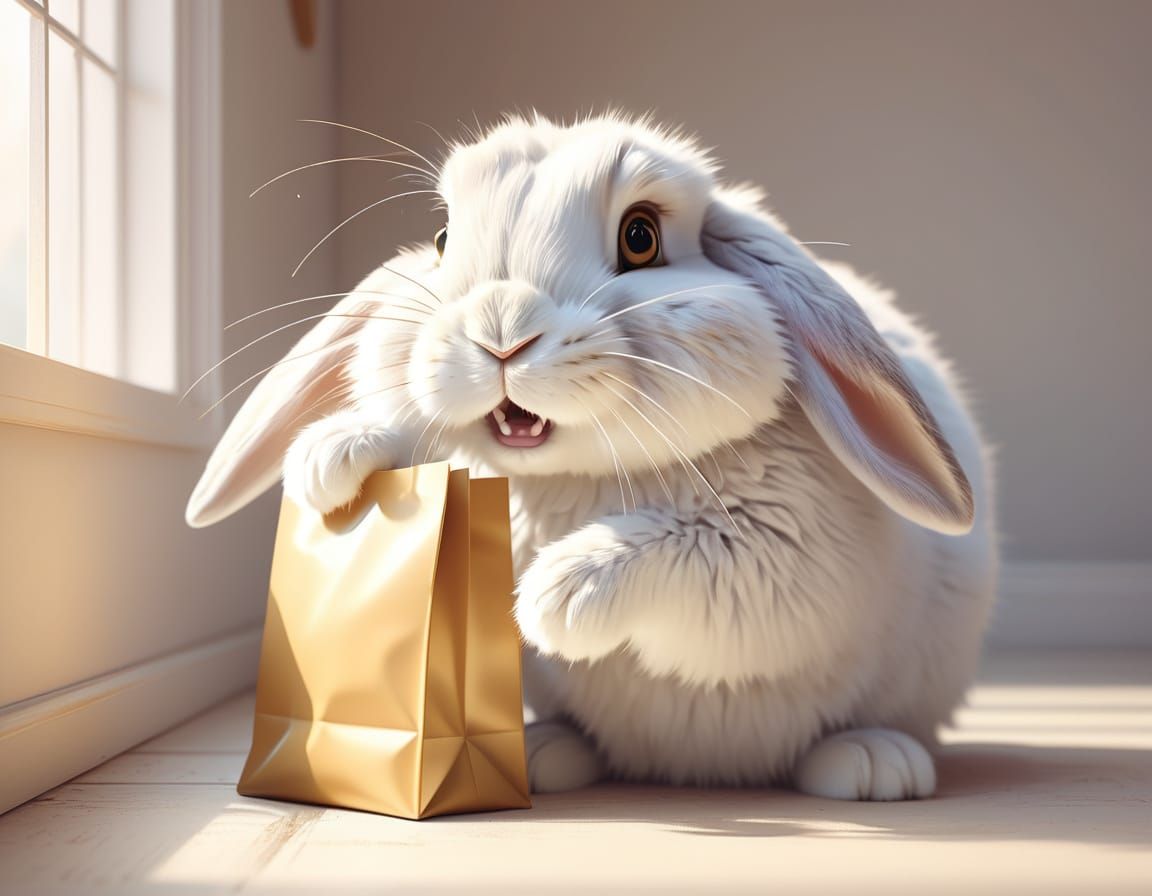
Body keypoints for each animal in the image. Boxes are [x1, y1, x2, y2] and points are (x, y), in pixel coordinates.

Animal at [187, 113, 997, 801]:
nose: (500, 329)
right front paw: (331, 457)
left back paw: (873, 764)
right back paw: (549, 753)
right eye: (444, 238)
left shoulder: (782, 559)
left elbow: (695, 557)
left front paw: (554, 595)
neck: (574, 478)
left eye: (641, 237)